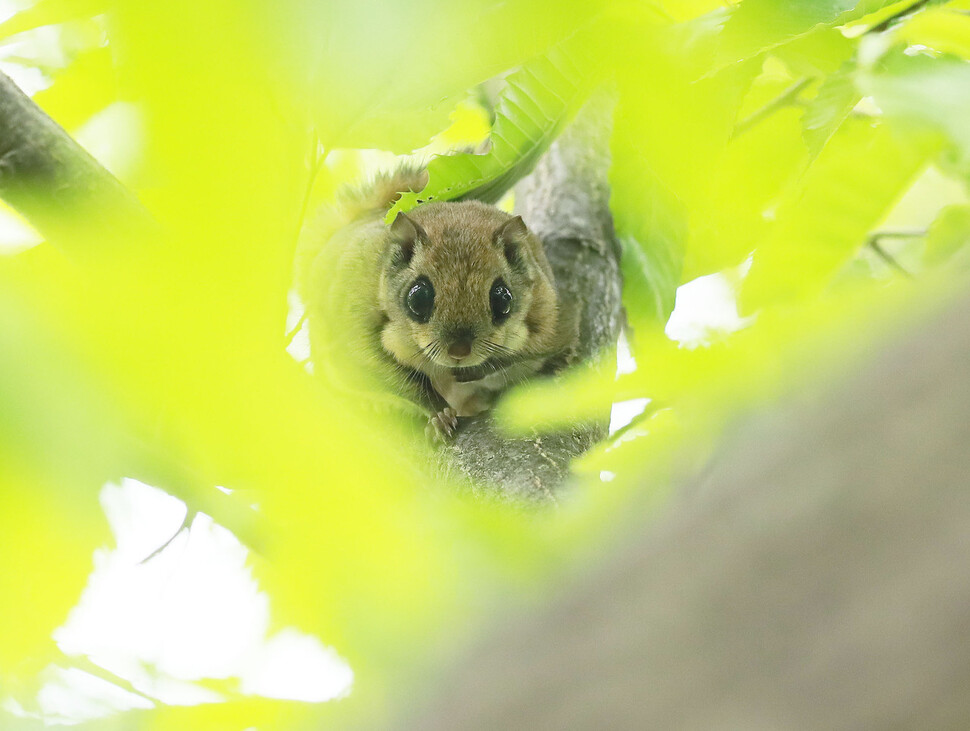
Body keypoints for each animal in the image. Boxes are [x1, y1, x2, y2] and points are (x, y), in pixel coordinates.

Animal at [296, 166, 576, 440]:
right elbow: (386, 374)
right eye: (417, 298)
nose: (459, 351)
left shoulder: (551, 318)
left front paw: (478, 369)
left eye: (503, 298)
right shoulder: (352, 325)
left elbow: (542, 347)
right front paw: (438, 413)